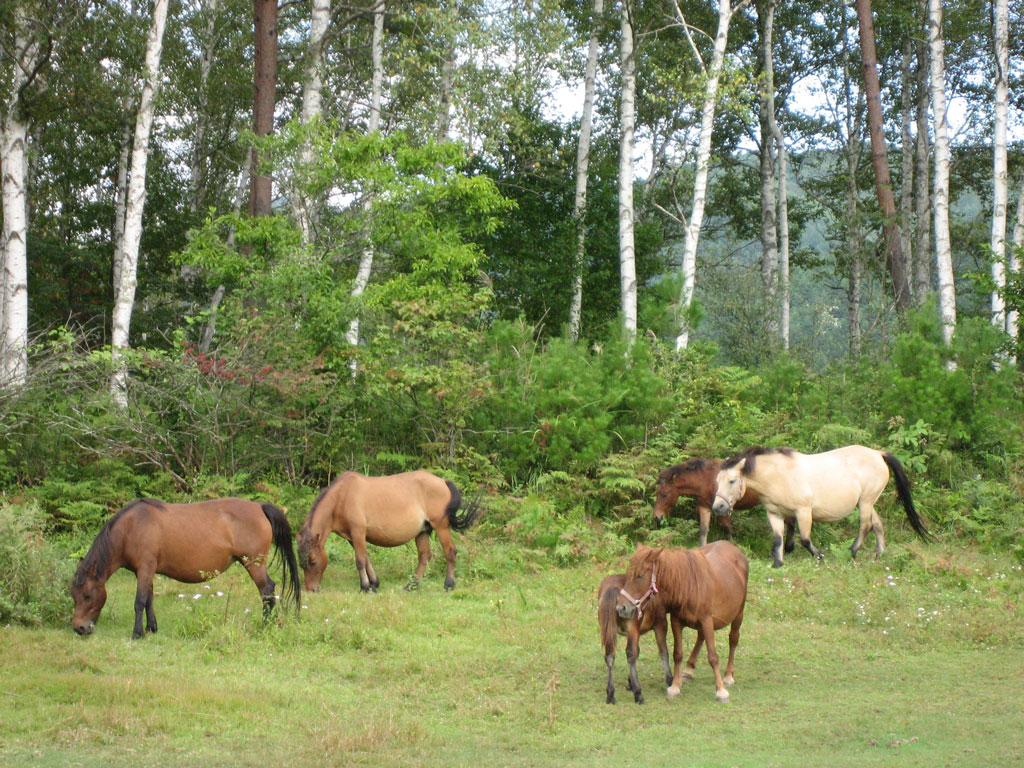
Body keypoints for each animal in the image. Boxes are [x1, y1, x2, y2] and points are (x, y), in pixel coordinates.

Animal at [69, 495, 296, 638]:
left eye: (87, 595)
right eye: (74, 595)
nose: (79, 628)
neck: (131, 528)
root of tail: (259, 507)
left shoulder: (144, 570)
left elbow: (139, 602)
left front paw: (137, 633)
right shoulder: (147, 572)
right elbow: (149, 600)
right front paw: (151, 629)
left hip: (254, 564)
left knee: (267, 590)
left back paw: (267, 624)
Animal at [296, 468, 479, 593]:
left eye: (313, 562)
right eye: (301, 564)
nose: (311, 589)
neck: (341, 497)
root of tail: (442, 481)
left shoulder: (358, 532)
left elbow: (360, 560)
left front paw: (365, 587)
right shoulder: (352, 537)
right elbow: (366, 558)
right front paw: (374, 584)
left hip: (440, 527)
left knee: (450, 552)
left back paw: (448, 585)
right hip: (422, 532)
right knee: (424, 557)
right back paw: (411, 585)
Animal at [598, 573, 675, 708]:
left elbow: (637, 652)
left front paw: (630, 682)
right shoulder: (660, 624)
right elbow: (663, 651)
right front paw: (670, 679)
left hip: (610, 631)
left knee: (610, 656)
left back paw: (610, 694)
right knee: (629, 654)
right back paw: (638, 694)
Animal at [610, 540, 749, 704]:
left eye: (640, 576)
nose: (621, 608)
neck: (689, 585)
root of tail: (734, 549)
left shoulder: (707, 621)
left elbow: (713, 657)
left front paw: (721, 691)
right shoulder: (676, 621)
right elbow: (677, 654)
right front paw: (675, 687)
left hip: (738, 614)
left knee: (733, 640)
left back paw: (728, 675)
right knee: (701, 637)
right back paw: (688, 670)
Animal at [708, 448, 933, 569]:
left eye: (732, 480)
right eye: (717, 481)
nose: (718, 507)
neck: (779, 475)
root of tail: (878, 453)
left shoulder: (803, 511)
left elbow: (805, 539)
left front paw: (820, 556)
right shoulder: (774, 513)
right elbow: (778, 539)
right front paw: (777, 563)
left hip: (866, 502)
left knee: (865, 526)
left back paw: (853, 551)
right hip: (867, 502)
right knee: (877, 524)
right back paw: (879, 554)